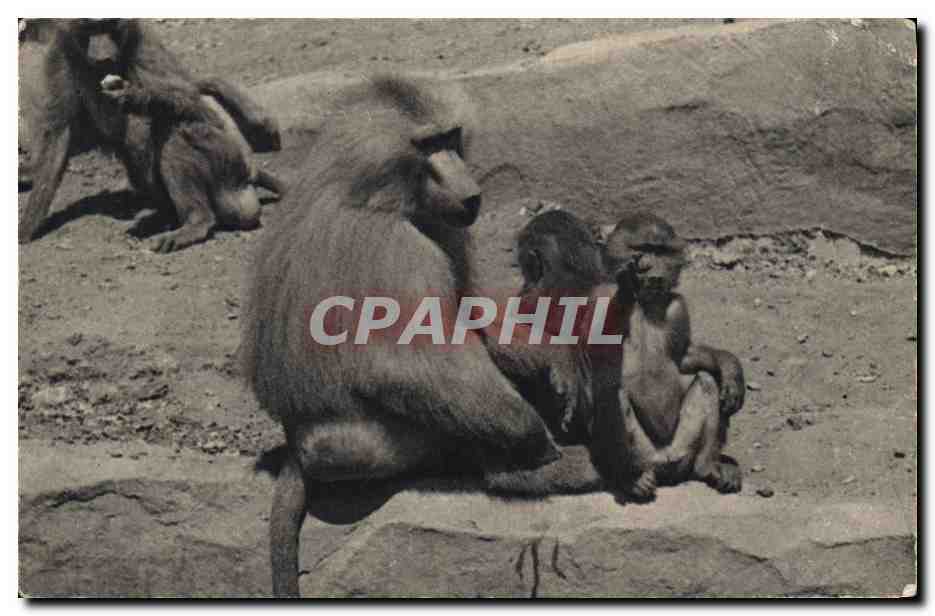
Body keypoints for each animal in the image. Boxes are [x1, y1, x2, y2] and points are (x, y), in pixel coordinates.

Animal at [18, 20, 282, 251]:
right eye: (91, 28)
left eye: (110, 25)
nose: (104, 57)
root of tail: (248, 173)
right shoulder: (60, 55)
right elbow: (58, 136)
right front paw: (27, 225)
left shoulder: (145, 43)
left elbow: (192, 98)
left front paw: (135, 96)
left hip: (227, 156)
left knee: (174, 128)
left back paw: (195, 222)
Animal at [241, 76, 592, 597]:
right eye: (426, 146)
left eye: (450, 138)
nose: (472, 195)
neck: (365, 188)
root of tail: (295, 441)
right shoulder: (400, 247)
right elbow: (398, 365)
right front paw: (536, 442)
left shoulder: (441, 226)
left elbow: (470, 305)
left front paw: (554, 360)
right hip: (358, 445)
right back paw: (524, 471)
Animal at [597, 211, 744, 500]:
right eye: (642, 249)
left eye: (661, 251)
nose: (651, 269)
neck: (643, 303)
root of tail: (663, 465)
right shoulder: (598, 298)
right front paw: (625, 286)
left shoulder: (677, 306)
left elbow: (684, 357)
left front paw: (731, 369)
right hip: (643, 453)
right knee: (612, 393)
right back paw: (631, 479)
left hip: (682, 448)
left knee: (706, 381)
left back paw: (707, 467)